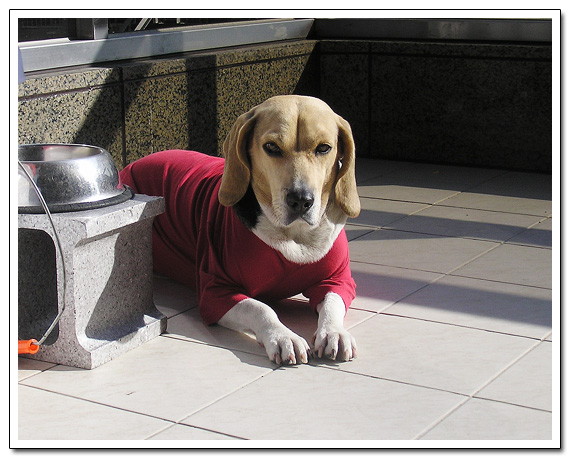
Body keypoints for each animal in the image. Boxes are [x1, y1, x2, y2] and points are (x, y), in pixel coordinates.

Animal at [120, 95, 361, 365]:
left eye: (324, 148)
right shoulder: (216, 292)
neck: (293, 234)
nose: (301, 200)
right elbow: (261, 308)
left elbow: (332, 303)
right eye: (271, 147)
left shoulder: (338, 280)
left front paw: (334, 332)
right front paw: (283, 336)